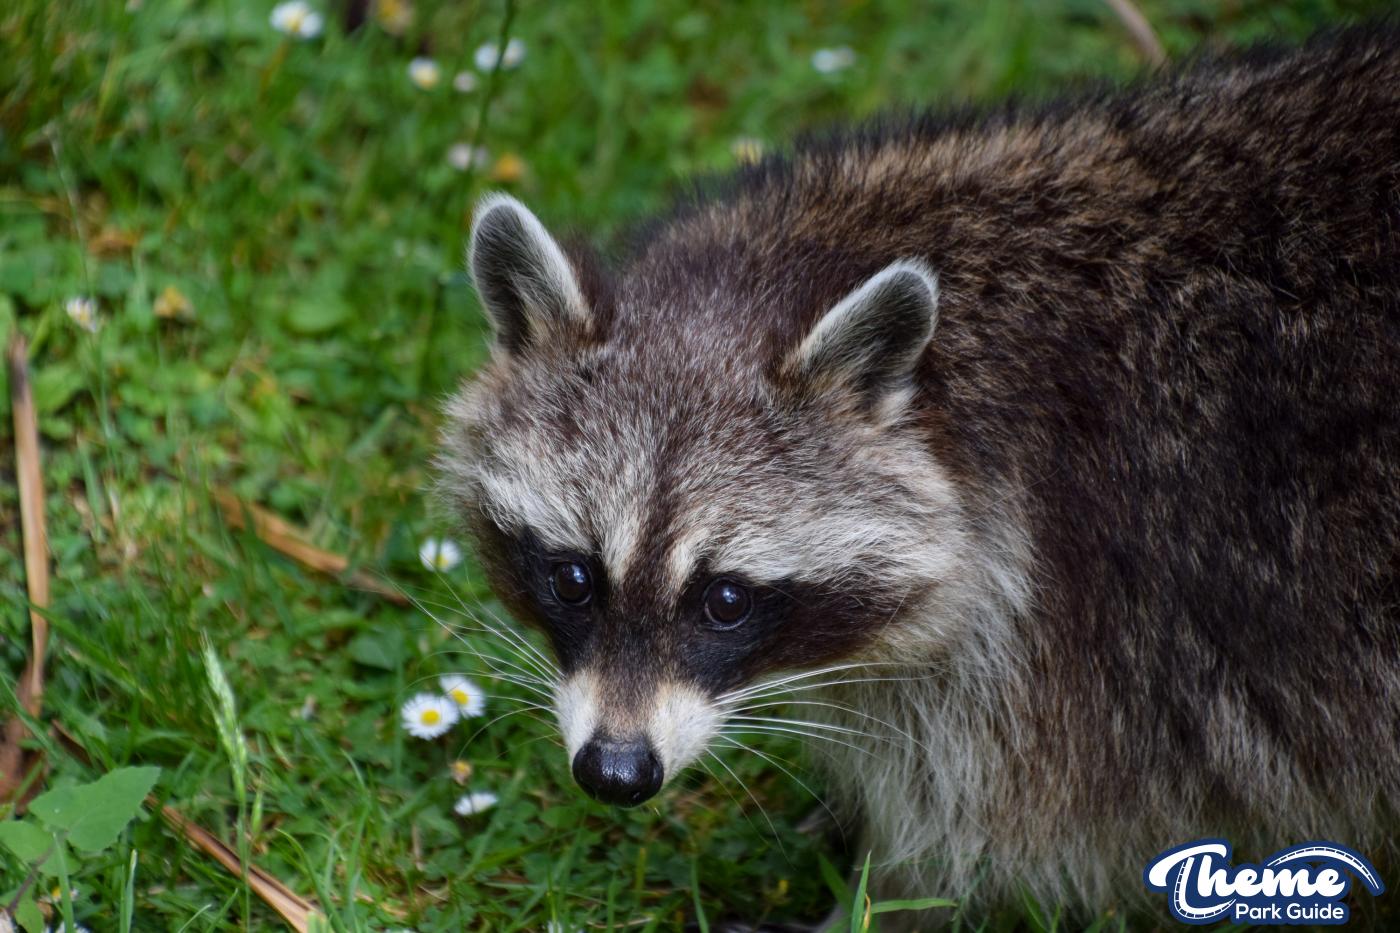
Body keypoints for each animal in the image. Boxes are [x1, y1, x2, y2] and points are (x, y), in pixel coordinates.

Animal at [437, 25, 1400, 926]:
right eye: (571, 577)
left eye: (725, 599)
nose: (616, 770)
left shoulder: (1069, 646)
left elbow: (970, 838)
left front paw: (870, 898)